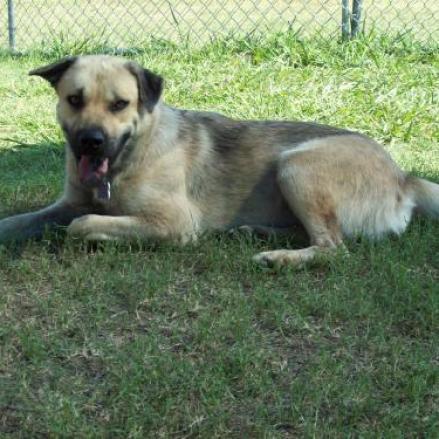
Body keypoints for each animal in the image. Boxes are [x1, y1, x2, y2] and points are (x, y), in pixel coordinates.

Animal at [0, 55, 439, 268]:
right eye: (74, 99)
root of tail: (405, 177)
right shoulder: (65, 203)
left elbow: (81, 224)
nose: (90, 143)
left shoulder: (175, 224)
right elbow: (20, 221)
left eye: (119, 104)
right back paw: (256, 233)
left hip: (296, 165)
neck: (133, 153)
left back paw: (278, 259)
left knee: (334, 247)